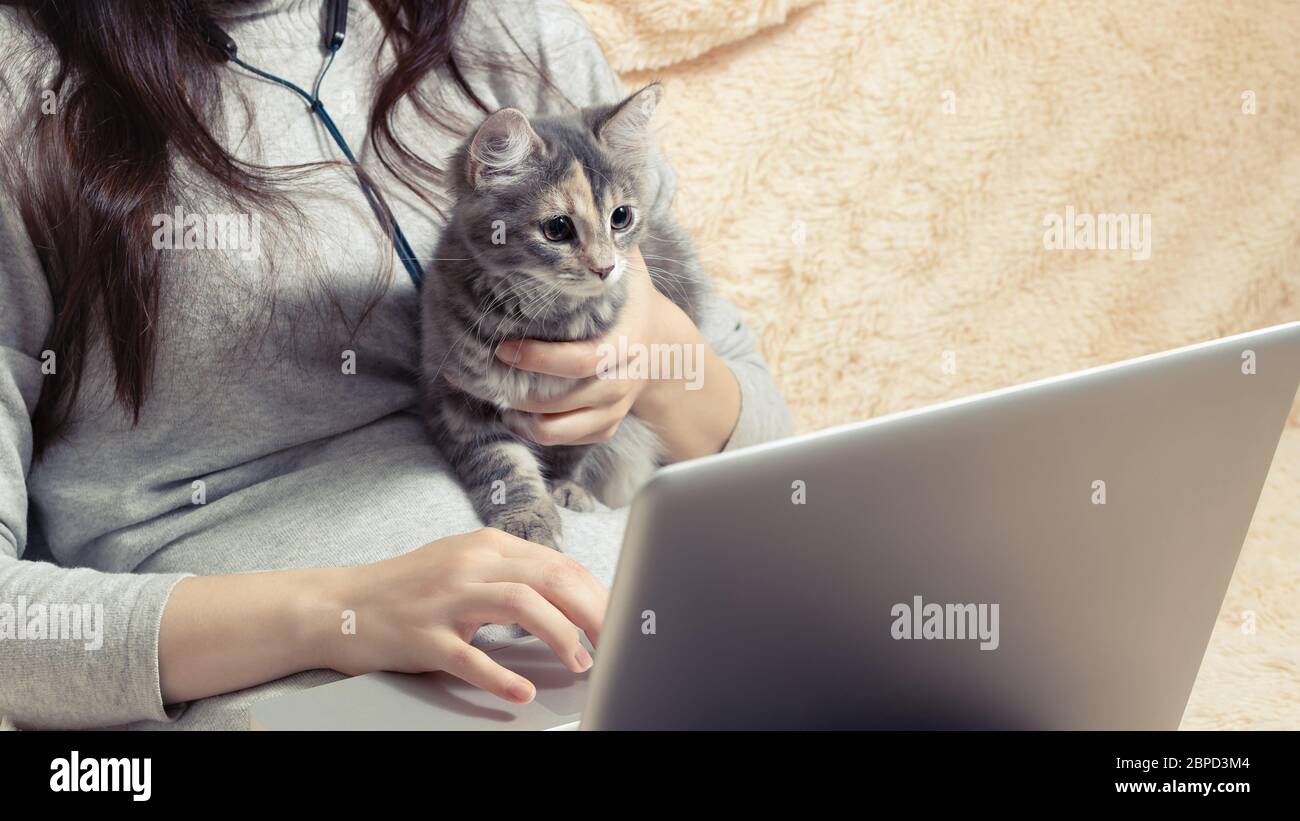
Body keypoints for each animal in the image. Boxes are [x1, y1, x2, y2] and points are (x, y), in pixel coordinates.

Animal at [418, 83, 707, 548]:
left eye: (621, 217)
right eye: (557, 229)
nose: (606, 267)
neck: (540, 314)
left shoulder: (604, 405)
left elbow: (575, 451)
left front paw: (568, 487)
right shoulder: (455, 397)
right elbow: (502, 465)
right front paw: (526, 518)